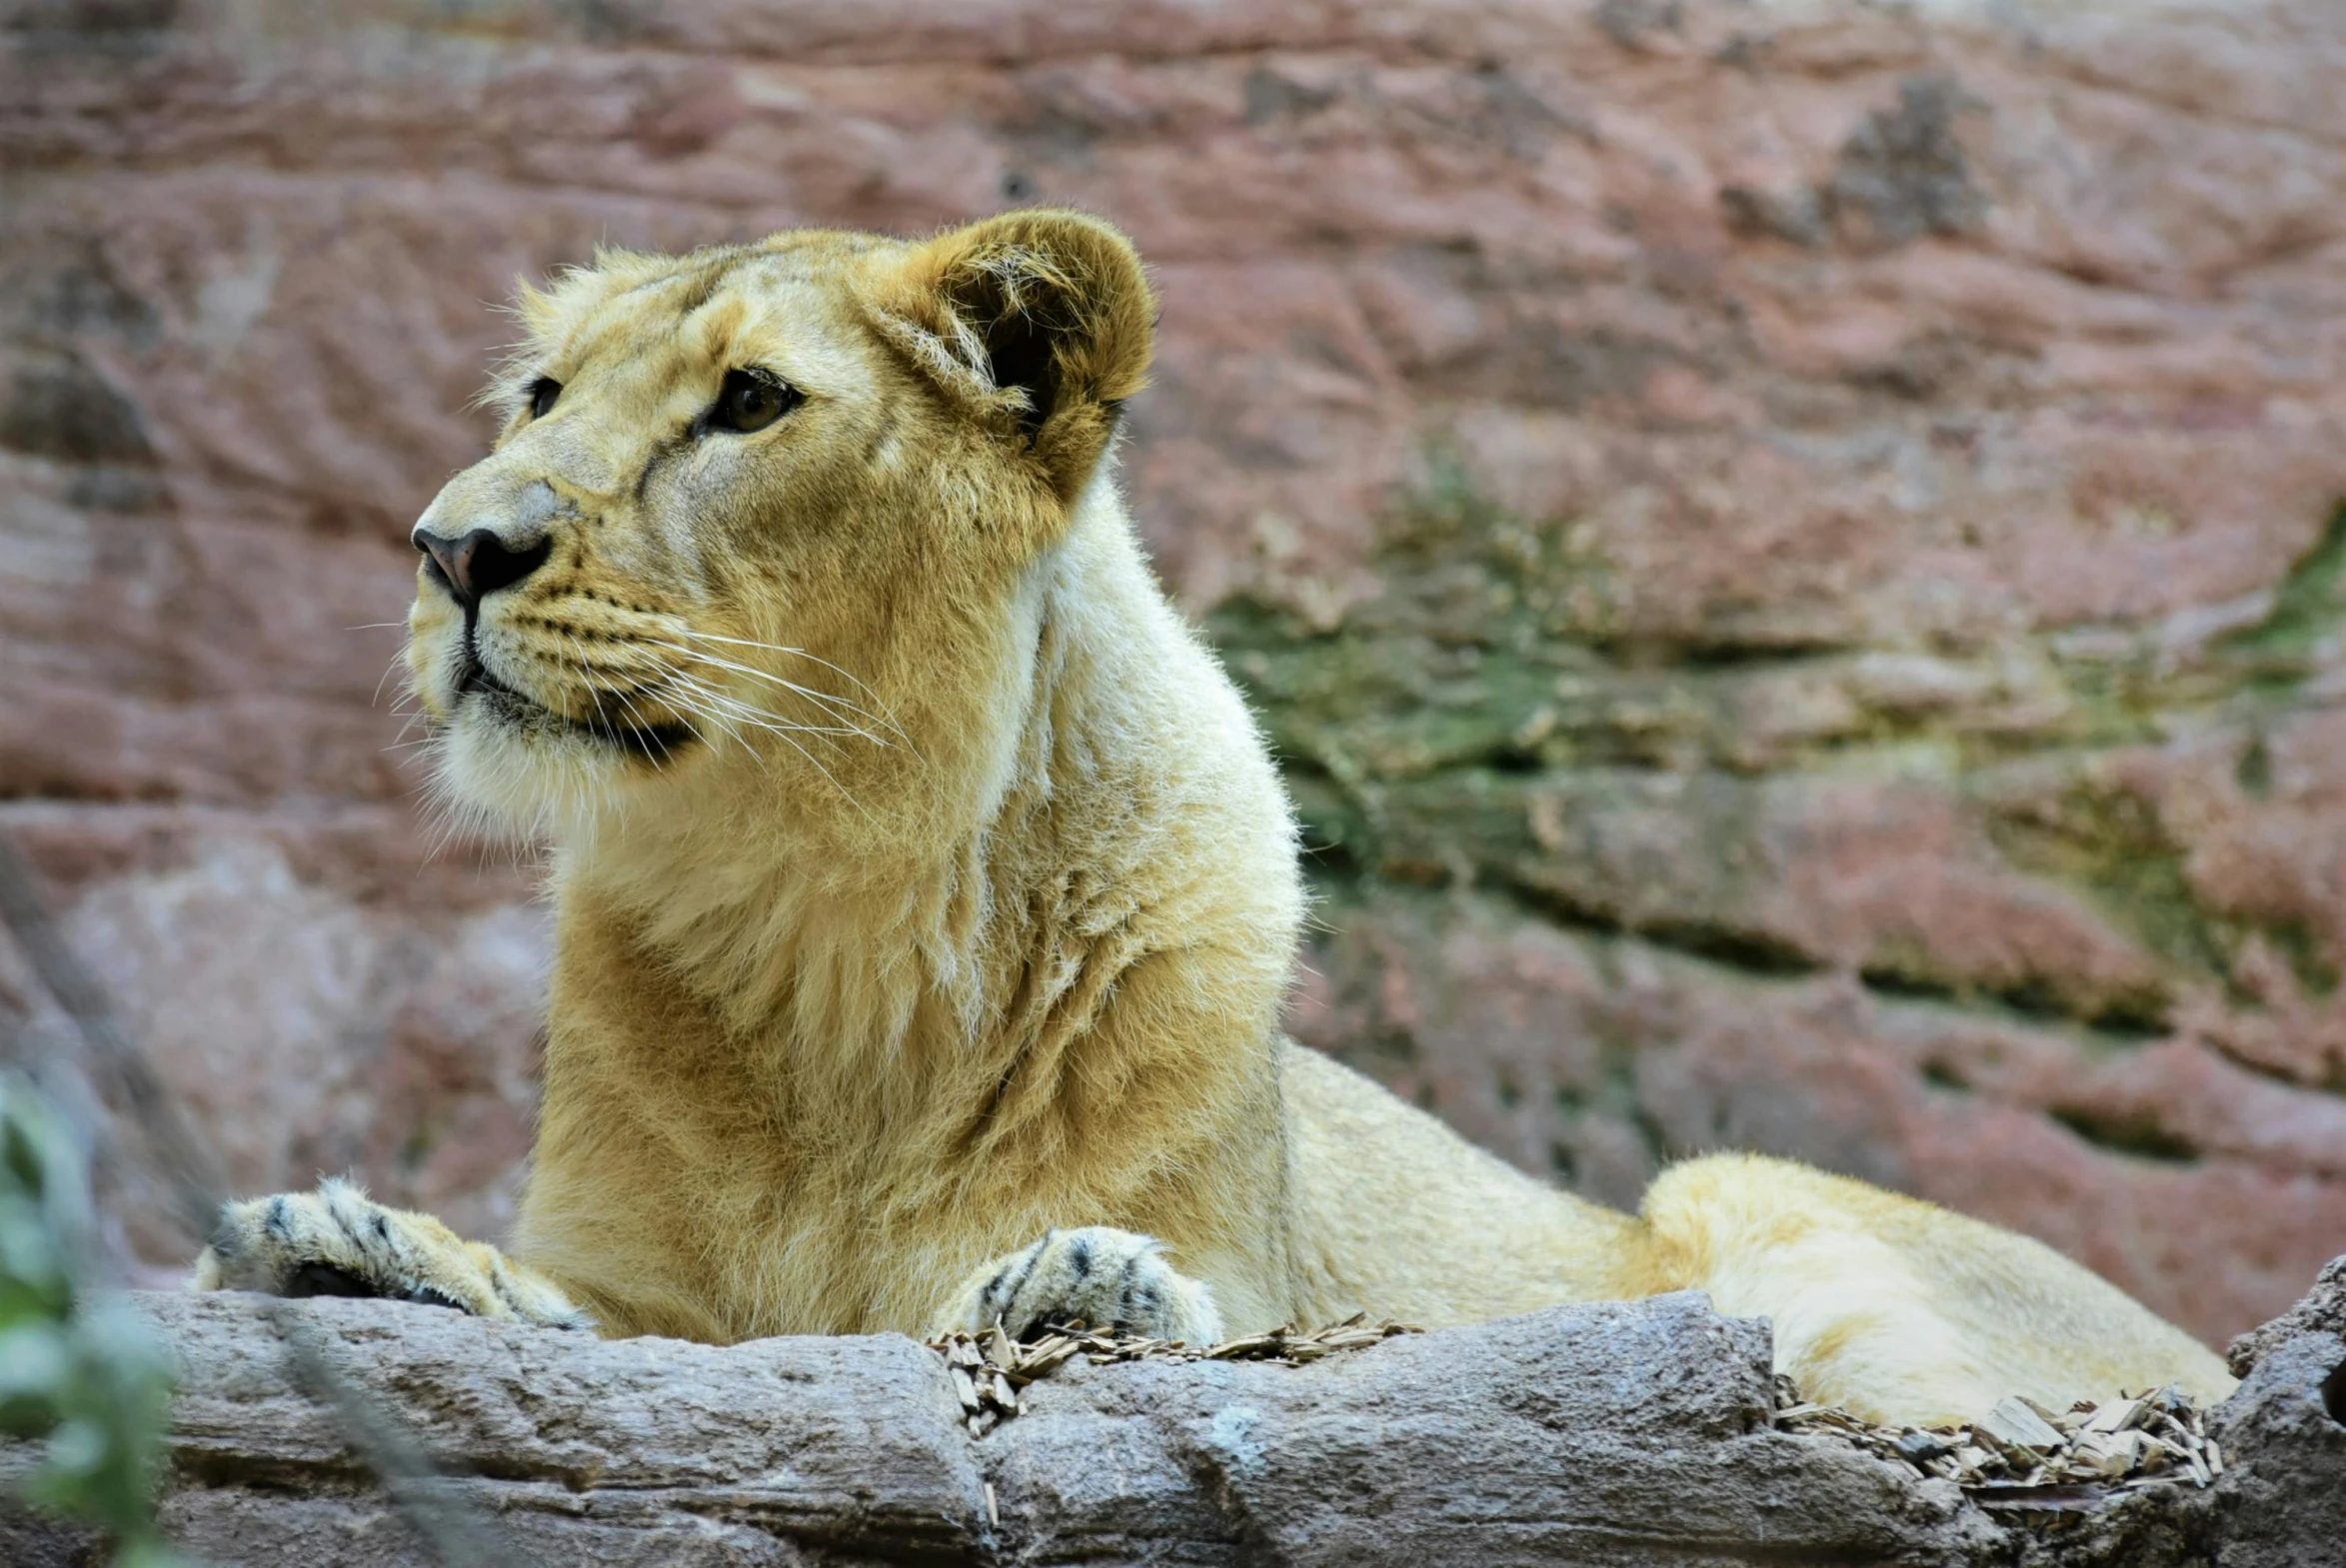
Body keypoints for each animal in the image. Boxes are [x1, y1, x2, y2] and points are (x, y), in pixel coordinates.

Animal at [192, 214, 2223, 1424]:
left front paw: (1081, 1276)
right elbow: (571, 1304)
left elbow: (1223, 1304)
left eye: (750, 401)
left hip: (1760, 1215)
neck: (834, 899)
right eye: (541, 392)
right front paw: (354, 1239)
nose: (453, 545)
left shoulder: (1273, 1261)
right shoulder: (640, 1284)